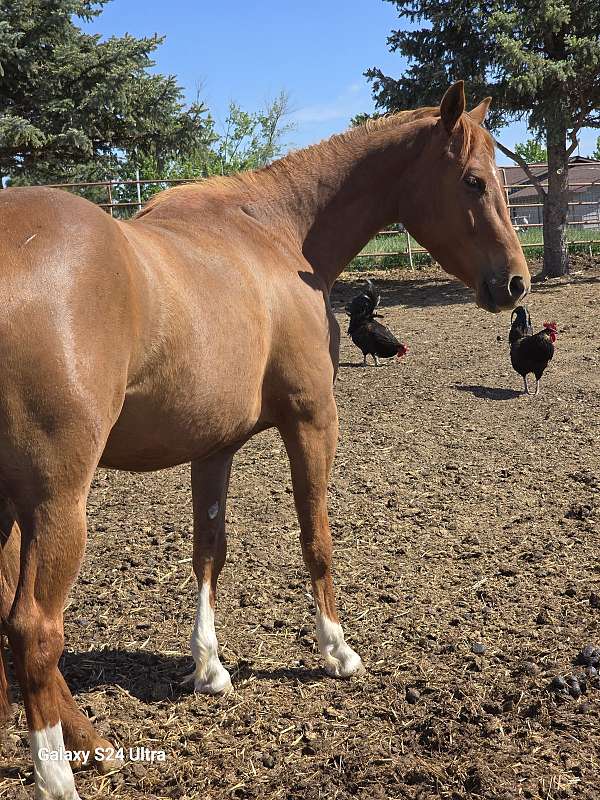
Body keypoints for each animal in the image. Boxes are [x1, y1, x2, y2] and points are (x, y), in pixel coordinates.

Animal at [0, 82, 530, 799]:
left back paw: (94, 743)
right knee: (33, 631)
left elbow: (209, 554)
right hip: (57, 503)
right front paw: (337, 651)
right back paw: (58, 774)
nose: (515, 282)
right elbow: (316, 540)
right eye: (474, 179)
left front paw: (209, 668)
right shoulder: (312, 420)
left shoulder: (212, 449)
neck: (275, 233)